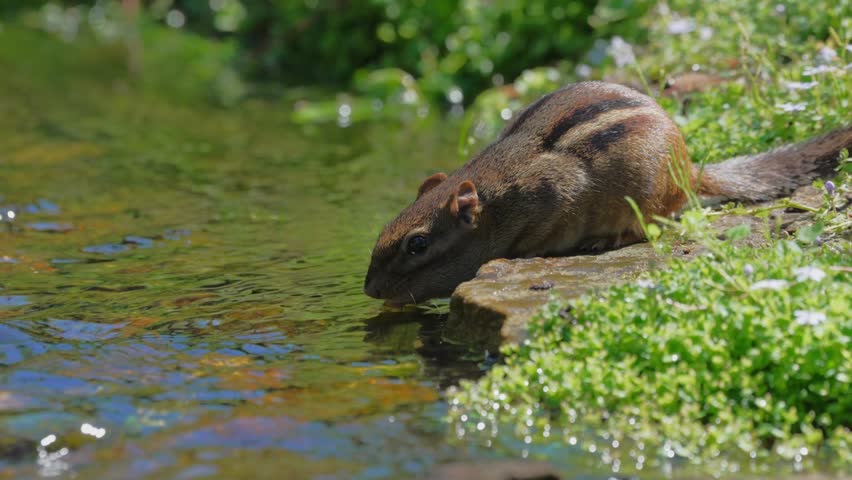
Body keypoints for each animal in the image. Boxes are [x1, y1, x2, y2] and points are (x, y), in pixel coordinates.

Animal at [364, 81, 852, 304]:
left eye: (418, 244)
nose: (368, 290)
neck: (501, 193)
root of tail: (688, 172)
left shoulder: (557, 199)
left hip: (647, 199)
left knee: (649, 227)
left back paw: (604, 240)